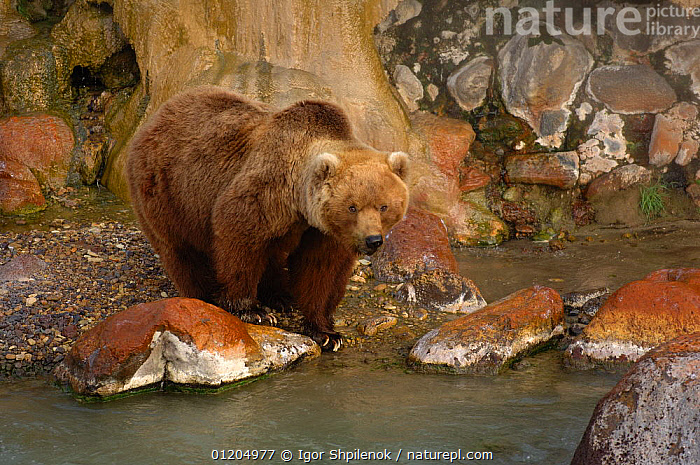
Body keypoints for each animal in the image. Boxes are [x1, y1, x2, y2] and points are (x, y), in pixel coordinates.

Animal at [126, 86, 409, 351]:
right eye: (353, 207)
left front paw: (327, 333)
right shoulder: (265, 191)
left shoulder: (323, 230)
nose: (373, 240)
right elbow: (237, 236)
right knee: (181, 251)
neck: (299, 202)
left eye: (383, 206)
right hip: (168, 191)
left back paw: (281, 297)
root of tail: (154, 117)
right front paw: (251, 311)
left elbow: (321, 270)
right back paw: (205, 296)